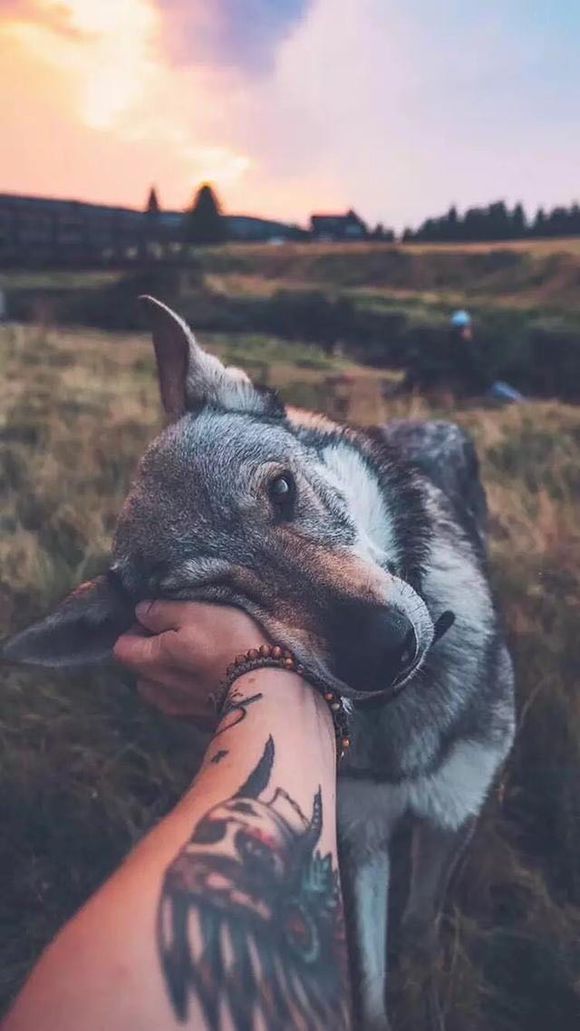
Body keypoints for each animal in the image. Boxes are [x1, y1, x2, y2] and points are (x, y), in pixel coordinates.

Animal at [3, 294, 513, 1026]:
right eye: (221, 597)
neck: (398, 720)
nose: (384, 650)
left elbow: (417, 932)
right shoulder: (362, 837)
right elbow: (369, 984)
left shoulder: (450, 818)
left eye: (281, 490)